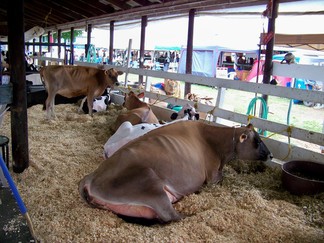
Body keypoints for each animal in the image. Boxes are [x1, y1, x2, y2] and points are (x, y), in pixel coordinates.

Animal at [79, 122, 272, 223]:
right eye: (257, 141)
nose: (270, 155)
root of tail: (90, 177)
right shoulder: (212, 174)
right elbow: (220, 178)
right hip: (149, 183)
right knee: (170, 215)